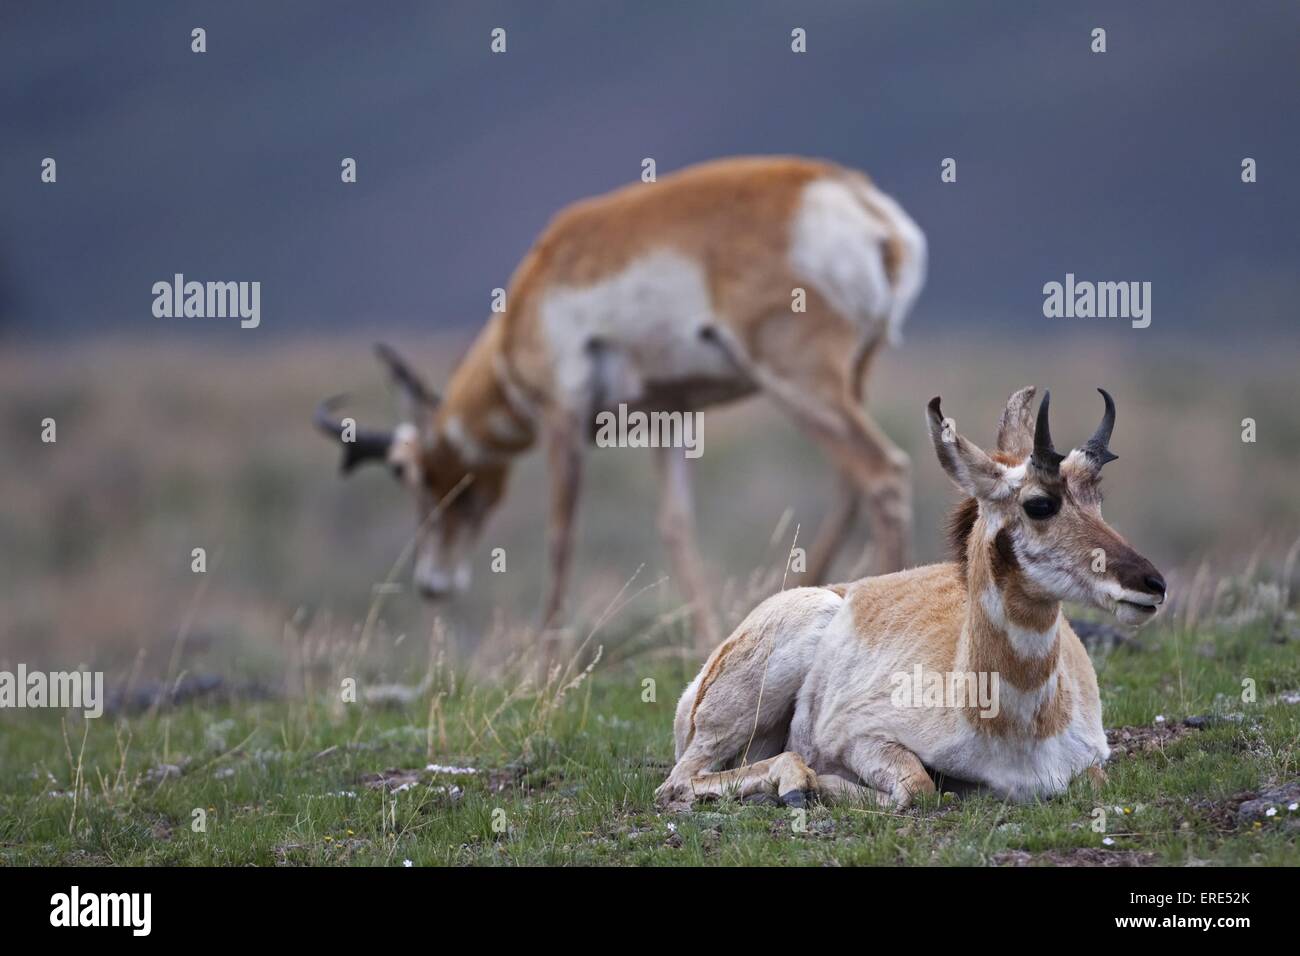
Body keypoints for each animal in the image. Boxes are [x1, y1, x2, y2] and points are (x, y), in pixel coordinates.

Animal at [314, 155, 925, 642]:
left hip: (799, 381)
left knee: (882, 473)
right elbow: (676, 527)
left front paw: (545, 673)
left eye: (406, 472)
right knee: (850, 485)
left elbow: (561, 538)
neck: (538, 280)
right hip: (850, 378)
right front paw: (708, 642)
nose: (432, 584)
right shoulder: (672, 418)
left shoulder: (562, 422)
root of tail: (856, 202)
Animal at [660, 387, 1170, 806]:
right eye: (1040, 504)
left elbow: (1094, 780)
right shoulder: (862, 738)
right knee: (680, 781)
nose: (1153, 584)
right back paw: (792, 785)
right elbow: (918, 786)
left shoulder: (1091, 764)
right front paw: (820, 783)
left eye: (1096, 499)